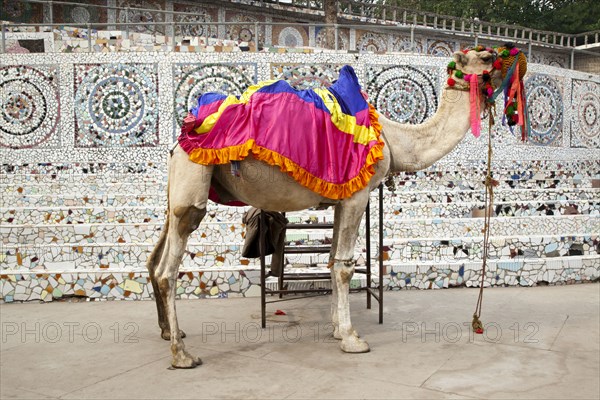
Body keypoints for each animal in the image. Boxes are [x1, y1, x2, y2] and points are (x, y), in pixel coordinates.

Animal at [146, 48, 502, 368]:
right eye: (487, 57)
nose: (510, 56)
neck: (394, 140)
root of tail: (179, 140)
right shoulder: (357, 195)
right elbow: (344, 265)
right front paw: (352, 338)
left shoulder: (341, 199)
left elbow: (332, 261)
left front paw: (336, 328)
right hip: (194, 176)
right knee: (169, 266)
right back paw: (182, 355)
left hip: (177, 187)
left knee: (155, 255)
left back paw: (167, 333)